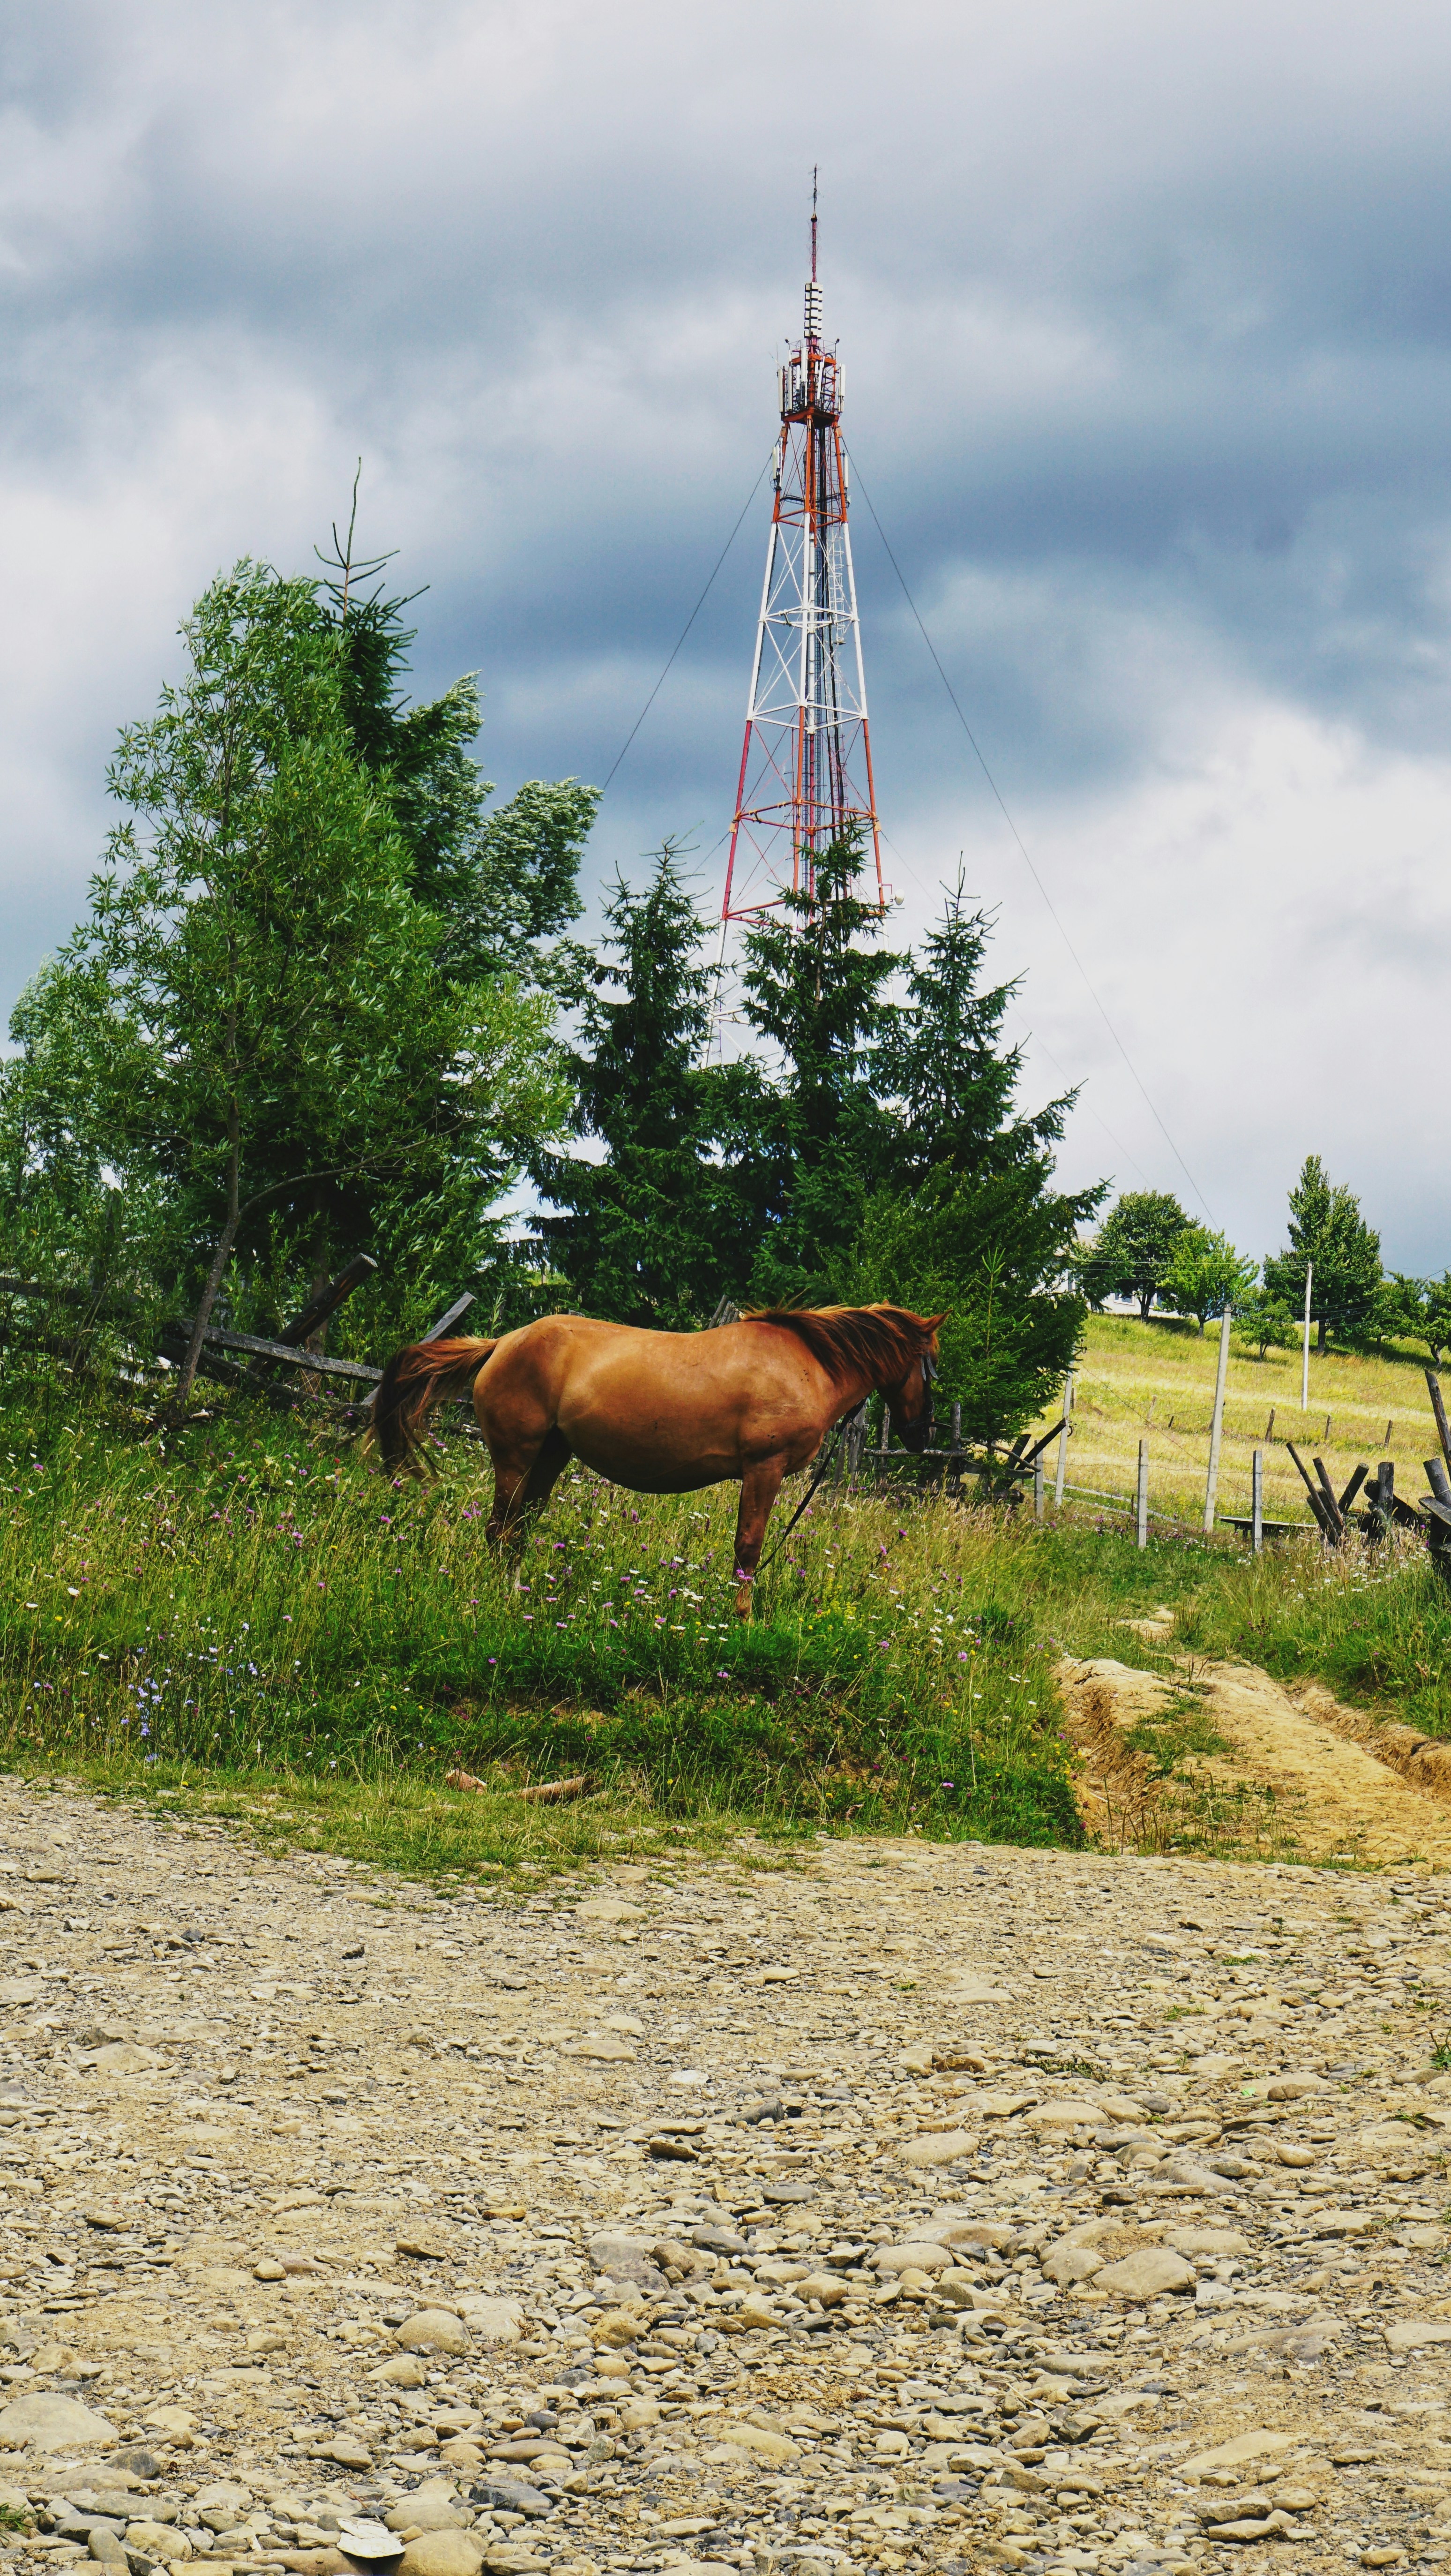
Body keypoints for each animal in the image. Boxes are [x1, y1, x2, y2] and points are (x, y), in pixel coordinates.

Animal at [371, 1303, 945, 1614]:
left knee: (519, 1529)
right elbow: (749, 1550)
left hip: (549, 1457)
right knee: (500, 1529)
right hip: (516, 1457)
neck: (806, 1364)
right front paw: (741, 1619)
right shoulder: (764, 1469)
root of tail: (502, 1343)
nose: (921, 1434)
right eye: (931, 1364)